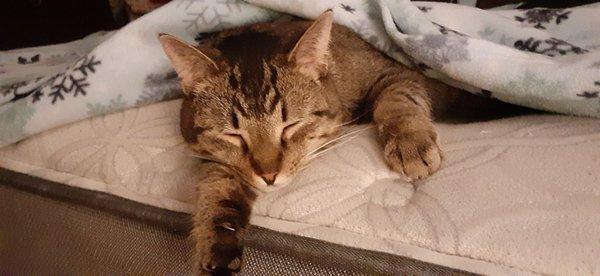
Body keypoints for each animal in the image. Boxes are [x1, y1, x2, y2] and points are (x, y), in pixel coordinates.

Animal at [159, 10, 520, 274]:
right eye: (233, 135)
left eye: (291, 126)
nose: (269, 175)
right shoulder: (215, 160)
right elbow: (218, 191)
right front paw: (218, 249)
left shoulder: (398, 74)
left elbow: (397, 102)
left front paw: (410, 142)